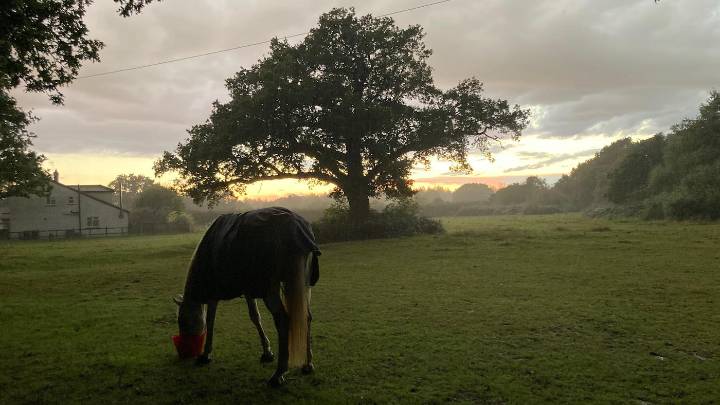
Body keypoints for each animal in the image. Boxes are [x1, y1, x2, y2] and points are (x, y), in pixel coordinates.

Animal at [173, 207, 320, 386]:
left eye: (183, 320)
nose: (187, 347)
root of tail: (294, 228)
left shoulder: (214, 290)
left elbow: (210, 320)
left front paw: (206, 355)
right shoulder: (249, 289)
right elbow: (255, 317)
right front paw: (267, 353)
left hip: (270, 290)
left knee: (283, 320)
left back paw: (279, 374)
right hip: (303, 283)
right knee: (306, 317)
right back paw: (308, 364)